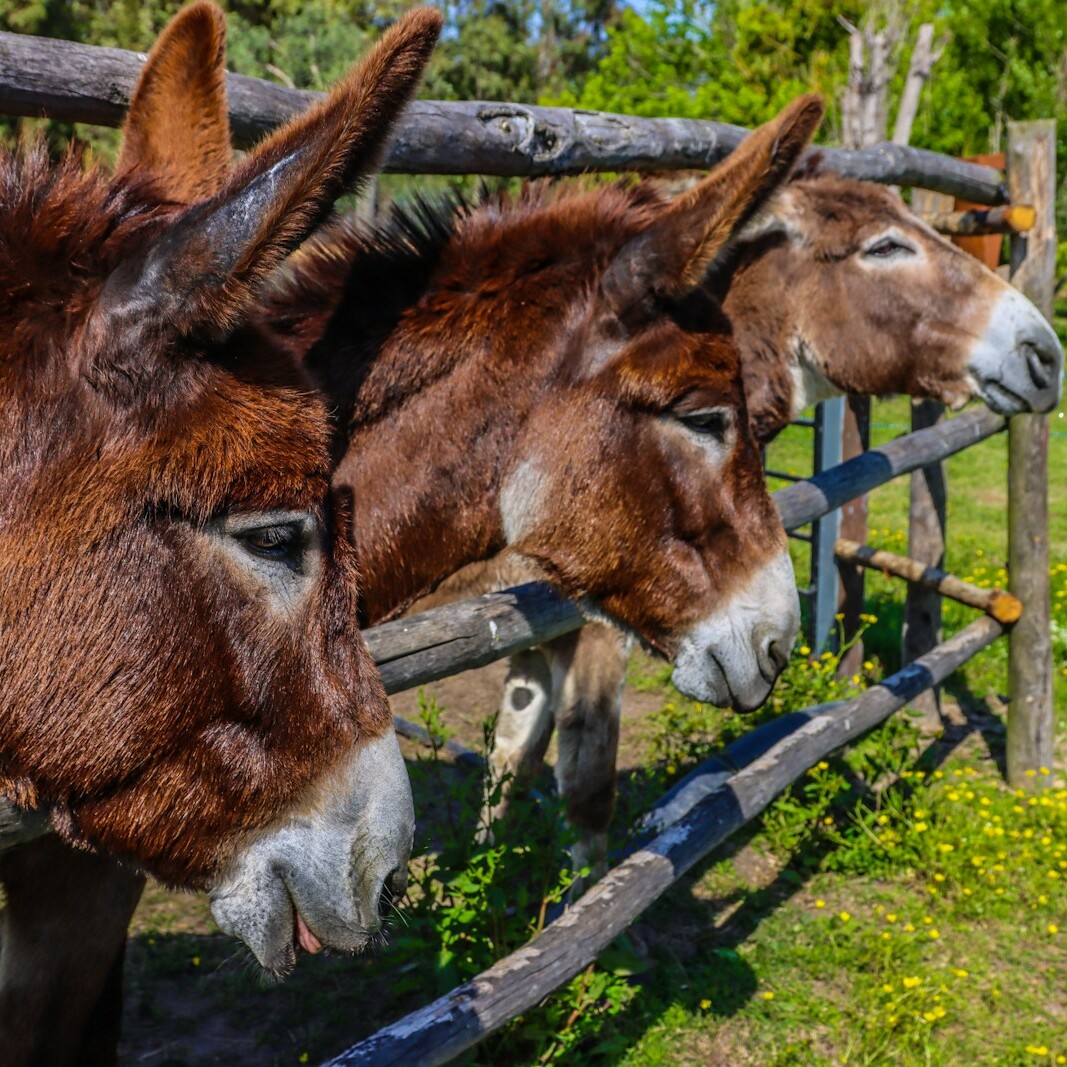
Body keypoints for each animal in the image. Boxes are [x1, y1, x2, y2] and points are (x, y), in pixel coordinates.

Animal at [413, 166, 1065, 882]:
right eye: (886, 247)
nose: (1047, 353)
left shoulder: (533, 631)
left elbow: (511, 757)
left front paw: (486, 873)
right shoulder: (593, 626)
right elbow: (586, 791)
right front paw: (580, 903)